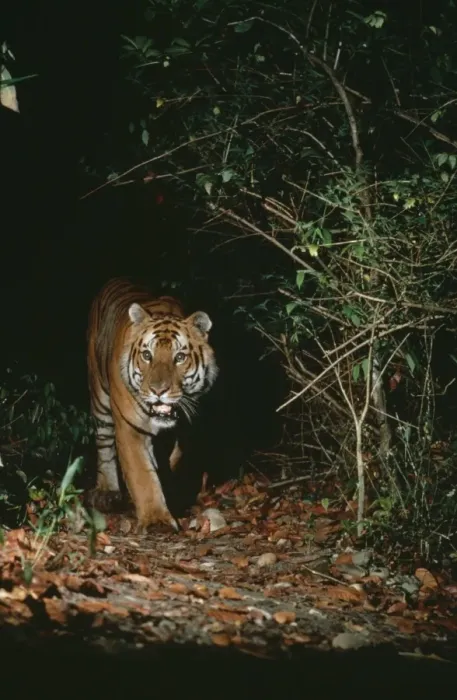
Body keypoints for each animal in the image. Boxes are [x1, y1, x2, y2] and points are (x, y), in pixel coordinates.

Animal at [86, 277, 218, 532]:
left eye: (179, 358)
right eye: (147, 355)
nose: (159, 391)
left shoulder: (187, 428)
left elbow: (174, 461)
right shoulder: (130, 427)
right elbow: (142, 475)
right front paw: (156, 519)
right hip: (100, 398)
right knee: (104, 444)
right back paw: (107, 492)